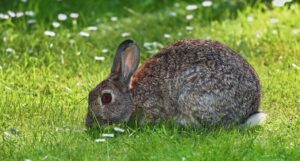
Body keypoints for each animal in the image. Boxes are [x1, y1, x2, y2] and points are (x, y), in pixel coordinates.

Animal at [85, 39, 266, 127]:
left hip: (192, 96)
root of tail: (248, 112)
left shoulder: (153, 106)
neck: (134, 96)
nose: (89, 123)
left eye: (106, 98)